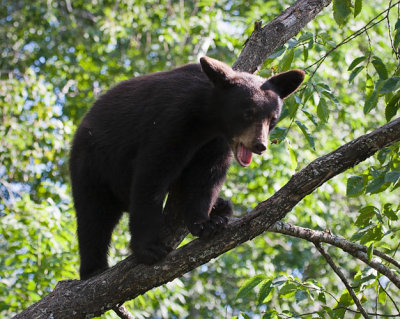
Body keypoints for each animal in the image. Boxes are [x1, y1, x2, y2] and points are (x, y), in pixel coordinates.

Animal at [70, 57, 304, 280]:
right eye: (248, 113)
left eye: (272, 119)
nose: (260, 145)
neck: (207, 118)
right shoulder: (171, 122)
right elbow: (152, 174)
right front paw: (148, 248)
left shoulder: (215, 142)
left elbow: (207, 177)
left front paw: (206, 223)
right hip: (93, 162)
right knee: (93, 215)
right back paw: (94, 269)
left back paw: (221, 207)